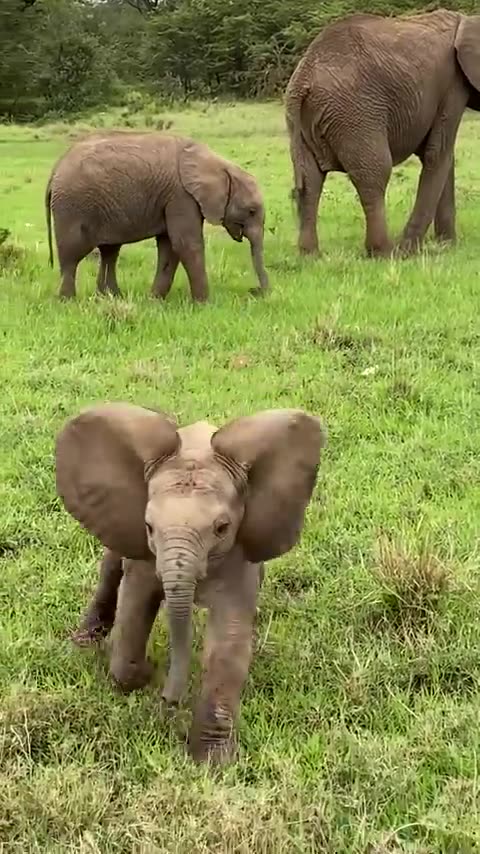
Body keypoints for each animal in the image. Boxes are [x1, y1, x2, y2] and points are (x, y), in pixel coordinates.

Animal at [45, 131, 270, 302]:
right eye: (251, 211)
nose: (256, 292)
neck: (219, 165)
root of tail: (55, 169)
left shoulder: (172, 199)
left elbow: (169, 247)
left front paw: (154, 300)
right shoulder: (181, 196)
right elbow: (186, 244)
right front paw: (204, 303)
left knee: (110, 252)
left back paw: (112, 297)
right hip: (72, 207)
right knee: (72, 254)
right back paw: (68, 301)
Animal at [55, 403, 326, 764]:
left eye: (222, 528)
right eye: (149, 526)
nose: (170, 700)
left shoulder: (239, 554)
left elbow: (228, 640)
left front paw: (213, 761)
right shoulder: (144, 552)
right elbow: (135, 607)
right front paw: (144, 673)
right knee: (111, 568)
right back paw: (85, 642)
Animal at [285, 10, 480, 259]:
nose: (405, 250)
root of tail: (304, 78)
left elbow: (442, 155)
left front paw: (446, 246)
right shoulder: (453, 85)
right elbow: (437, 154)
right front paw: (410, 250)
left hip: (302, 123)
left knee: (310, 181)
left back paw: (311, 256)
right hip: (356, 113)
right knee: (374, 174)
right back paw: (385, 253)